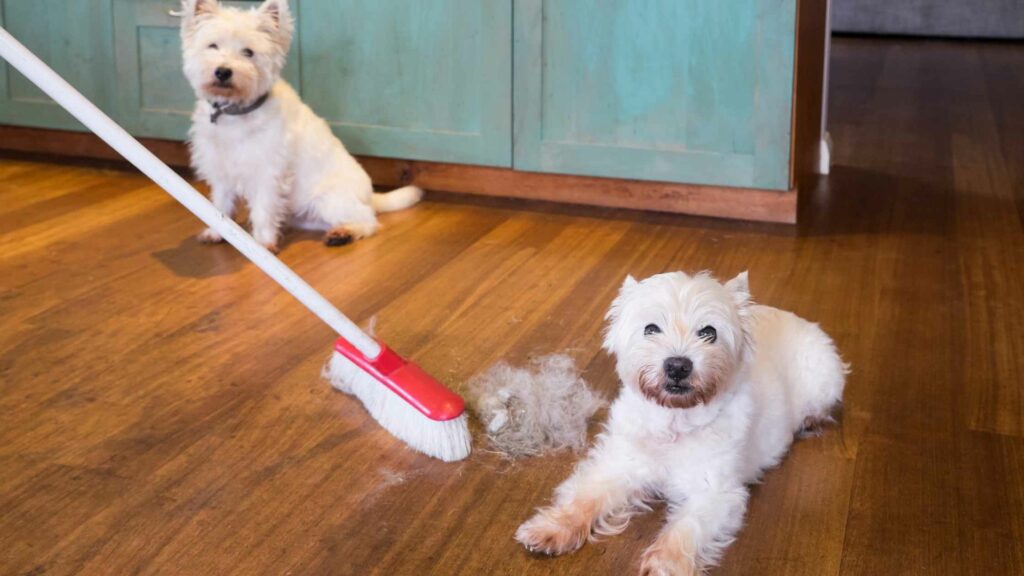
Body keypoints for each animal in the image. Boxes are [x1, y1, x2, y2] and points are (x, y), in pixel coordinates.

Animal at [180, 0, 419, 251]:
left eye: (248, 52)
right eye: (212, 45)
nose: (223, 72)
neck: (234, 113)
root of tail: (370, 195)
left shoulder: (268, 172)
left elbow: (263, 209)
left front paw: (262, 243)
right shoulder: (220, 170)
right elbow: (220, 205)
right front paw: (216, 232)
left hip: (329, 200)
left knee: (367, 220)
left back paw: (343, 233)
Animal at [516, 270, 843, 573]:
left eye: (709, 332)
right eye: (650, 329)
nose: (677, 366)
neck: (673, 419)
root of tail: (800, 319)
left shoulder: (715, 493)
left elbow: (686, 529)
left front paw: (666, 564)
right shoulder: (620, 464)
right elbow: (585, 497)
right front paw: (551, 528)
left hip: (824, 380)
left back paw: (810, 420)